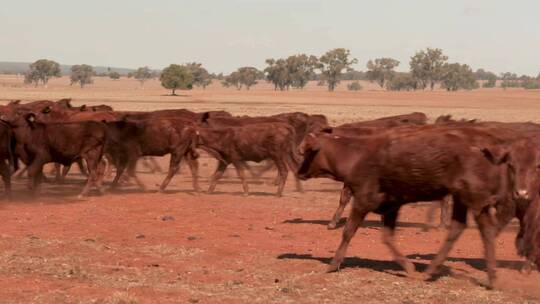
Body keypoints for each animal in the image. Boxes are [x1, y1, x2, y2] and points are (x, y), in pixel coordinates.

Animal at [296, 127, 532, 288]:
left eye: (306, 152)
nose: (299, 172)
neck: (355, 155)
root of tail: (486, 147)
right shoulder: (391, 207)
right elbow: (387, 237)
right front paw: (408, 267)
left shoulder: (362, 200)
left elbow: (348, 232)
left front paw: (333, 264)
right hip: (461, 199)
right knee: (458, 229)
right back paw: (434, 271)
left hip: (473, 199)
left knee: (486, 231)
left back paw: (490, 276)